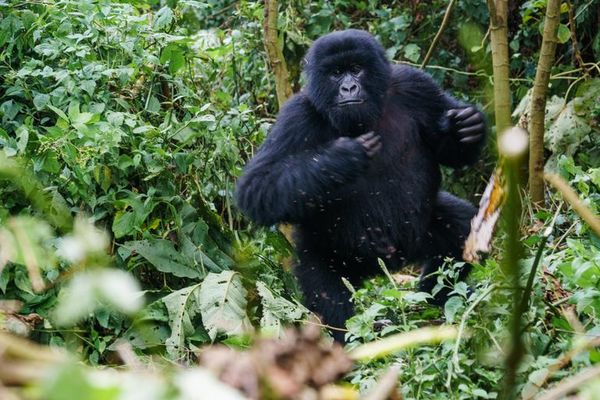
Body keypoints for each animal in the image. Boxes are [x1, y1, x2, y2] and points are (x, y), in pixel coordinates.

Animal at [234, 28, 488, 340]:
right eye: (335, 73)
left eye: (356, 69)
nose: (348, 88)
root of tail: (387, 265)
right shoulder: (297, 116)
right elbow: (257, 188)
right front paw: (341, 157)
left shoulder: (417, 85)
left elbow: (449, 151)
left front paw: (463, 130)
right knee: (329, 296)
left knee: (463, 226)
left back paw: (439, 297)